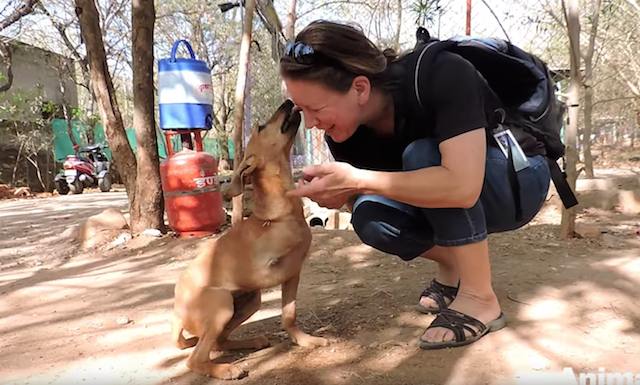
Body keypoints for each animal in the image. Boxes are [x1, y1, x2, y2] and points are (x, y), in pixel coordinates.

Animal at [172, 100, 328, 378]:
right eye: (261, 127)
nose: (288, 102)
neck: (283, 216)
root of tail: (178, 313)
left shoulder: (293, 274)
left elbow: (289, 315)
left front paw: (305, 340)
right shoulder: (270, 266)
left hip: (250, 301)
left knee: (219, 342)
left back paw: (252, 342)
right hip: (222, 302)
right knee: (196, 358)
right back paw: (226, 370)